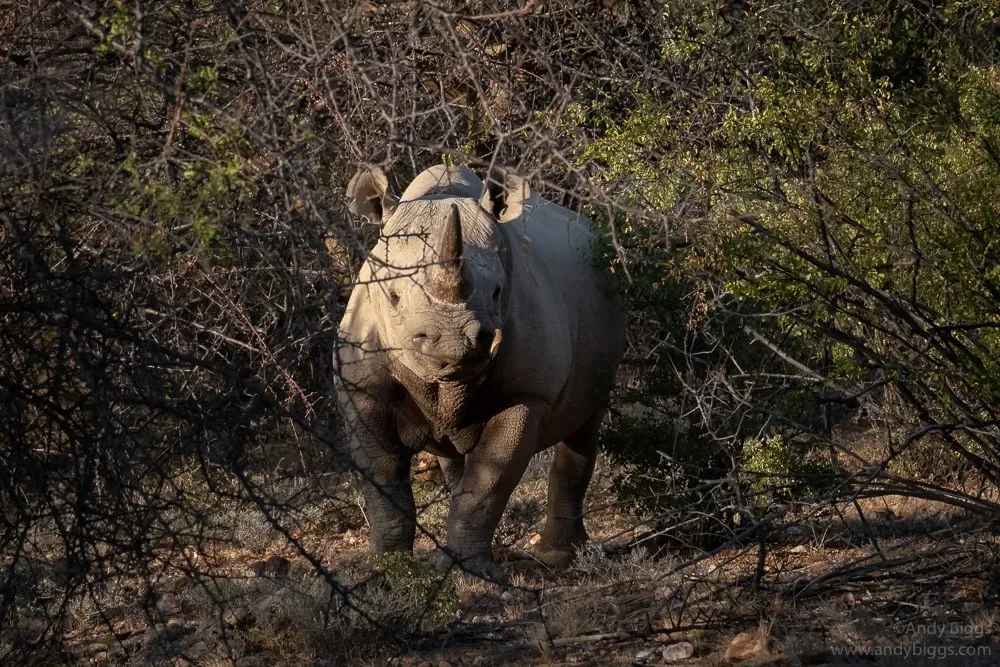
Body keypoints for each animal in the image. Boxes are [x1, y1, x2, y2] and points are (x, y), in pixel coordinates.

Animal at [335, 164, 625, 580]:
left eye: (498, 292)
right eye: (392, 297)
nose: (454, 343)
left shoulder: (527, 393)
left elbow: (488, 484)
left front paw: (471, 575)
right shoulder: (360, 386)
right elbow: (383, 479)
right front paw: (387, 570)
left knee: (584, 427)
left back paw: (560, 557)